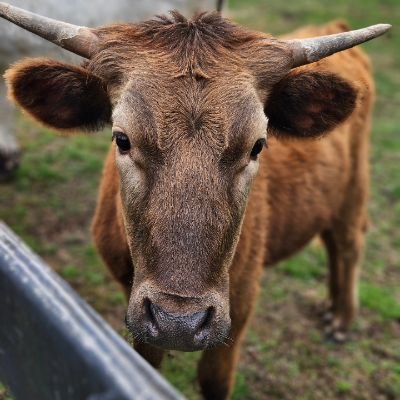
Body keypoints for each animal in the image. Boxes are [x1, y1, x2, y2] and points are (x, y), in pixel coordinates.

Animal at [0, 3, 390, 400]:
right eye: (122, 138)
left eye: (257, 145)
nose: (179, 323)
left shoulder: (241, 302)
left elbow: (215, 379)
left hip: (355, 187)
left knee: (349, 243)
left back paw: (341, 319)